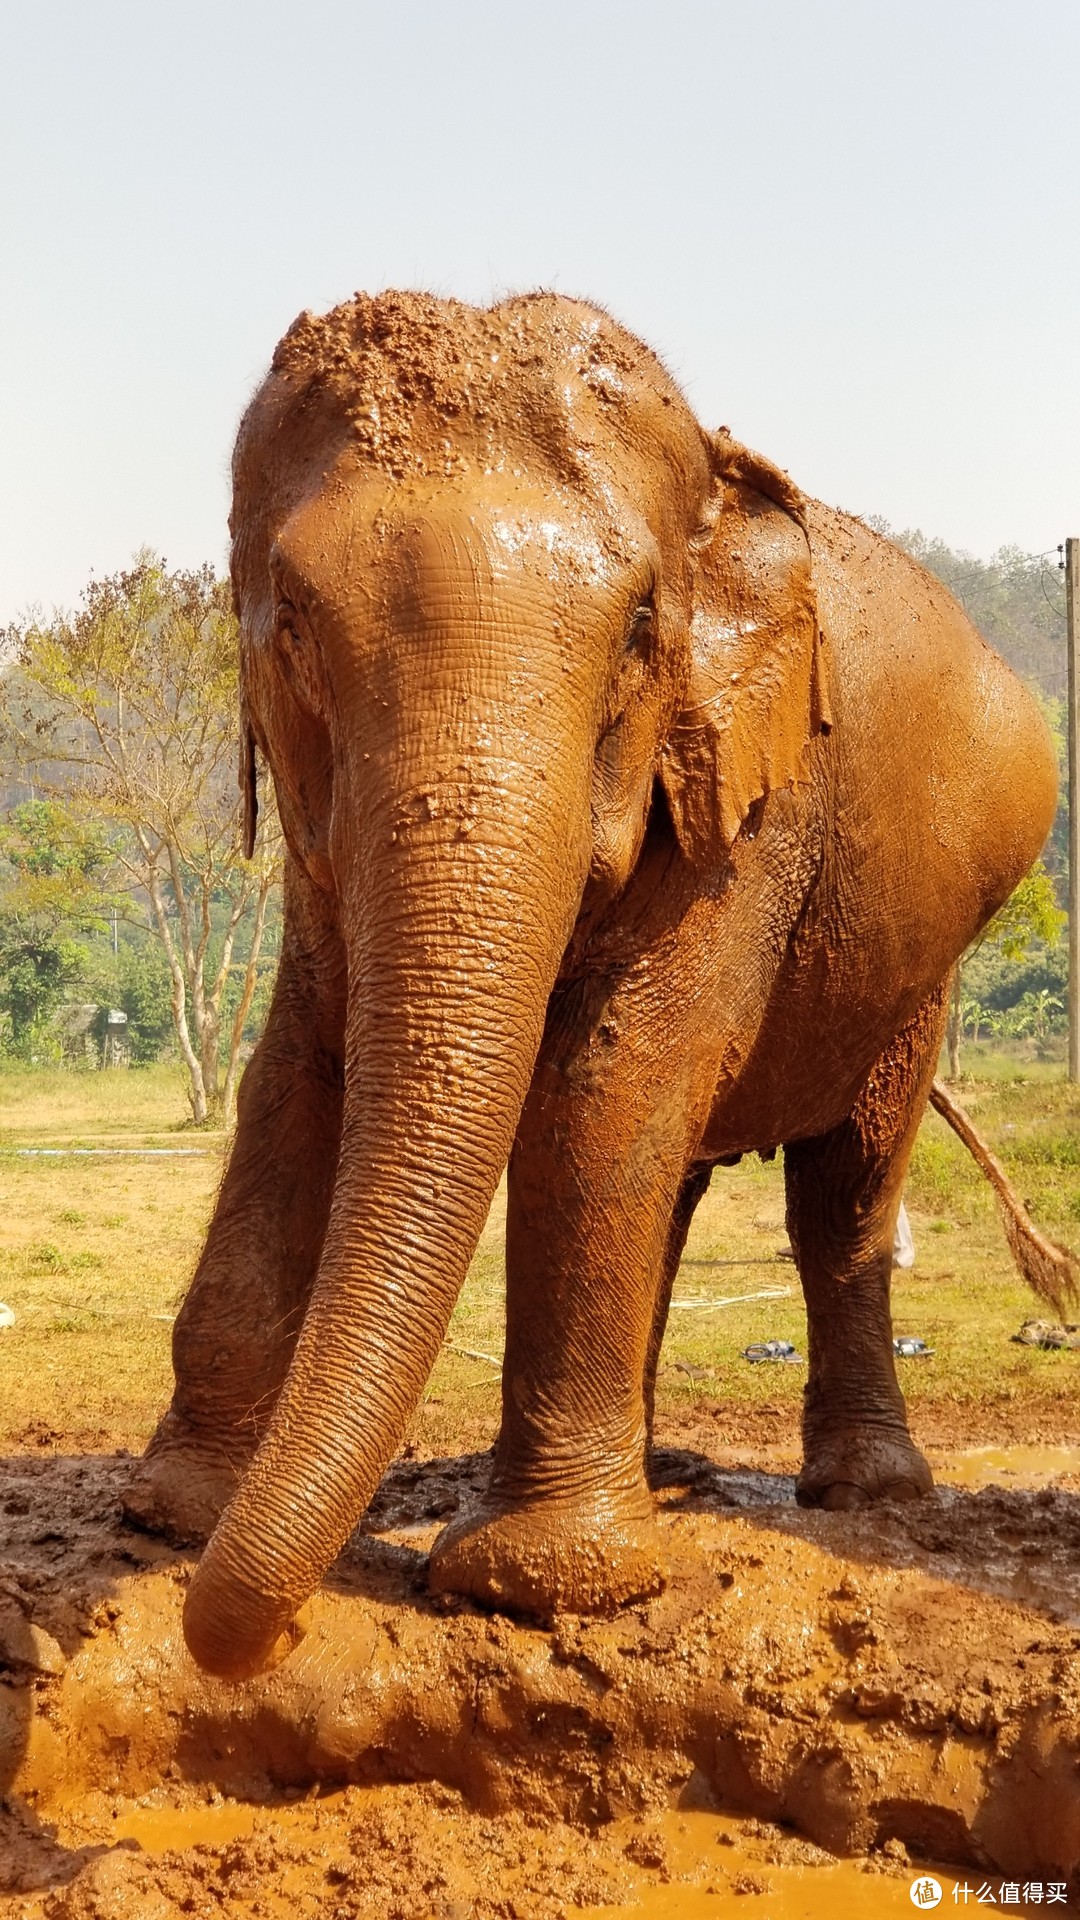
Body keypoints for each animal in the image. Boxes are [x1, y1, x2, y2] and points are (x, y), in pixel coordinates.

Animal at [123, 288, 1053, 1681]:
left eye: (637, 635)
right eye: (289, 622)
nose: (276, 1634)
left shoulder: (743, 807)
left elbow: (610, 1087)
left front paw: (537, 1584)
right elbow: (297, 1072)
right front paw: (175, 1515)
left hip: (920, 966)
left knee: (843, 1187)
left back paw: (861, 1491)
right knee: (677, 1188)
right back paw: (660, 1473)